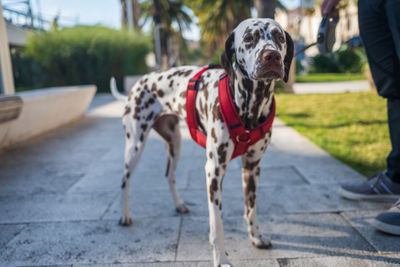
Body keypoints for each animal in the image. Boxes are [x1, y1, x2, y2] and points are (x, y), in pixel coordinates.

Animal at [111, 17, 292, 266]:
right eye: (249, 38)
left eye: (279, 37)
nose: (271, 56)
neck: (252, 105)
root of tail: (139, 83)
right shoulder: (214, 171)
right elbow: (217, 225)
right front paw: (222, 258)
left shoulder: (252, 167)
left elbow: (251, 209)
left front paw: (256, 237)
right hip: (135, 145)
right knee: (124, 181)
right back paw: (124, 214)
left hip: (175, 143)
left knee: (169, 174)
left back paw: (178, 205)